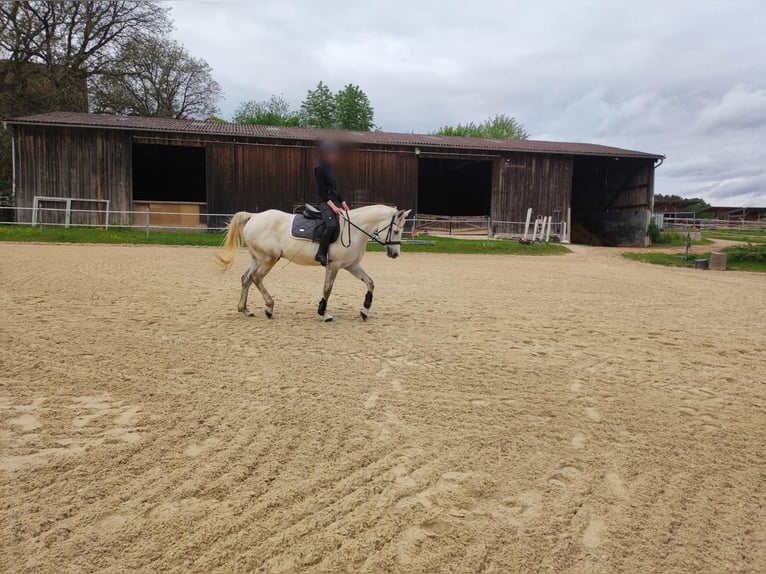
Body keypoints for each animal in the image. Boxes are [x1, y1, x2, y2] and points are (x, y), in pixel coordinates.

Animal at [216, 205, 412, 322]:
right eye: (396, 231)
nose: (395, 254)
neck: (354, 230)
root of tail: (254, 217)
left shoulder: (351, 266)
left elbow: (370, 282)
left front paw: (365, 311)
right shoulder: (334, 265)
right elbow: (327, 289)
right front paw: (324, 313)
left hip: (257, 258)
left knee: (246, 279)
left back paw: (245, 309)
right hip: (268, 259)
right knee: (256, 279)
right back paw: (269, 308)